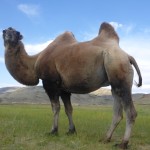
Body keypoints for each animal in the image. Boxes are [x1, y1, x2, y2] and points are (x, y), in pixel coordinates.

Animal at [2, 22, 142, 150]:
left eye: (16, 32)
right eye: (5, 30)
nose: (5, 32)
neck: (34, 62)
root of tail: (128, 56)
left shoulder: (50, 82)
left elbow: (55, 107)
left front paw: (53, 131)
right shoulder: (64, 89)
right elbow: (68, 109)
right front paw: (71, 131)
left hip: (119, 73)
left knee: (131, 112)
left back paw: (123, 143)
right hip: (114, 84)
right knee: (117, 112)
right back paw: (105, 139)